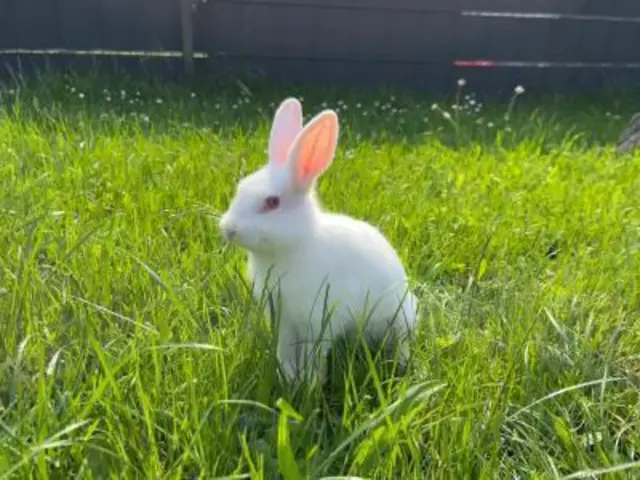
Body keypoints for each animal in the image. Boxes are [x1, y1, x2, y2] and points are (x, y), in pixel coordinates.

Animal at [219, 97, 418, 385]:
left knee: (402, 342)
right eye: (241, 187)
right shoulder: (284, 320)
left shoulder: (319, 321)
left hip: (400, 317)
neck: (293, 245)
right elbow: (285, 349)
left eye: (272, 202)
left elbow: (314, 353)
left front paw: (310, 382)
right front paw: (288, 377)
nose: (228, 228)